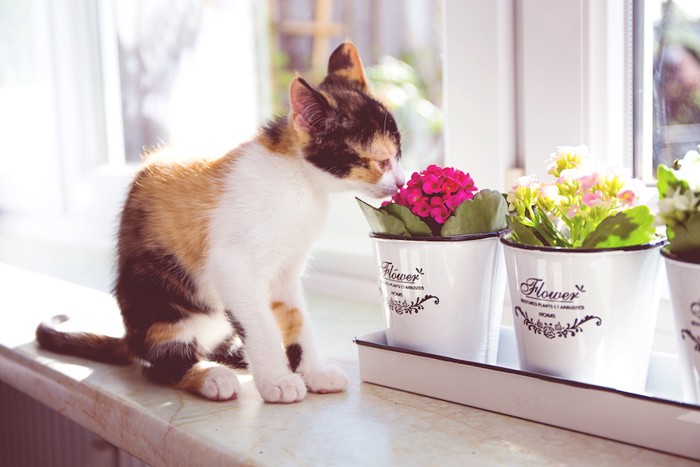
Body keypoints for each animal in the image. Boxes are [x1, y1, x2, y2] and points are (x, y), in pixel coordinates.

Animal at [35, 42, 404, 404]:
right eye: (380, 161)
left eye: (399, 154)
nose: (401, 181)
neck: (301, 180)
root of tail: (130, 337)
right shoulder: (231, 267)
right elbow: (260, 325)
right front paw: (277, 381)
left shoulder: (285, 271)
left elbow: (295, 318)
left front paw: (312, 371)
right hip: (158, 301)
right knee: (160, 366)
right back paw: (210, 376)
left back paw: (239, 357)